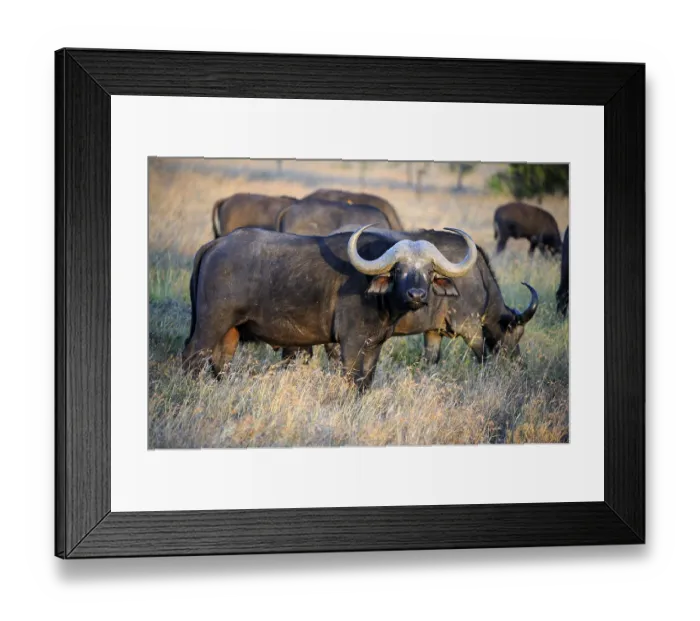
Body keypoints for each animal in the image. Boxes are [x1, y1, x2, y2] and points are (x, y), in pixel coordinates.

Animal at [182, 226, 478, 390]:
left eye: (429, 271)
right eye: (399, 269)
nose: (416, 294)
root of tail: (216, 244)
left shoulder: (374, 344)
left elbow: (365, 381)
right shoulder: (349, 343)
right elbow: (351, 378)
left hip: (230, 331)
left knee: (220, 362)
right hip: (210, 324)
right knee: (193, 355)